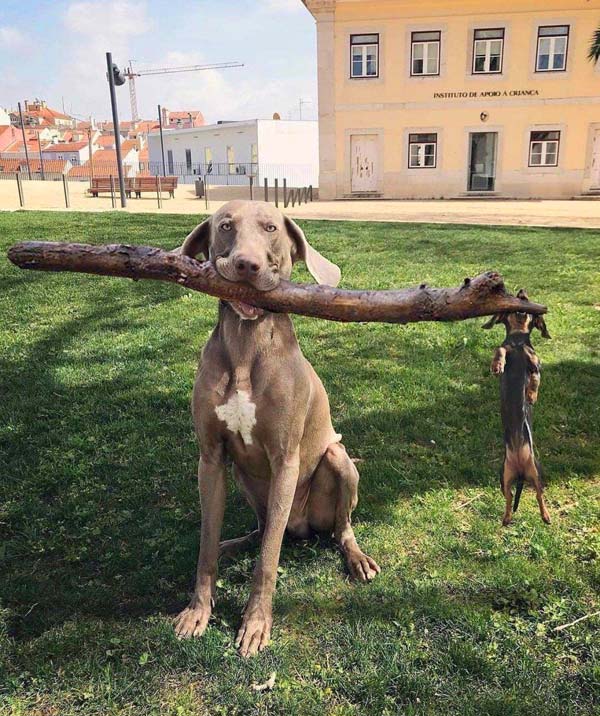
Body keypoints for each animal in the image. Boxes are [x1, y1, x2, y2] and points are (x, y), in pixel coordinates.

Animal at [173, 200, 380, 656]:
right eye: (225, 226)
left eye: (271, 228)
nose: (246, 265)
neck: (246, 345)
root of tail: (303, 530)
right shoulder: (211, 459)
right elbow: (206, 546)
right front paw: (198, 611)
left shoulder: (285, 458)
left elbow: (268, 561)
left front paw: (255, 623)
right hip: (242, 476)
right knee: (263, 528)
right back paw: (237, 542)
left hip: (339, 462)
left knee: (336, 528)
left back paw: (356, 558)